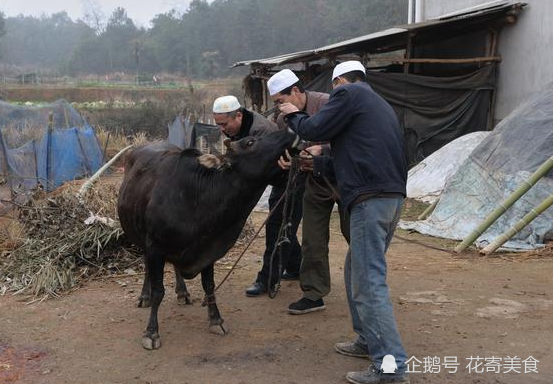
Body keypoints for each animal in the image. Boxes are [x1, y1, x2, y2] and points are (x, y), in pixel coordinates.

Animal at [117, 130, 298, 350]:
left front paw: (216, 320)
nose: (290, 132)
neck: (199, 199)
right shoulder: (155, 248)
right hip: (142, 240)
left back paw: (182, 293)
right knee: (147, 270)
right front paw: (151, 332)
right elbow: (158, 291)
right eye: (250, 142)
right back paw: (145, 296)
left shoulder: (208, 249)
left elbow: (209, 286)